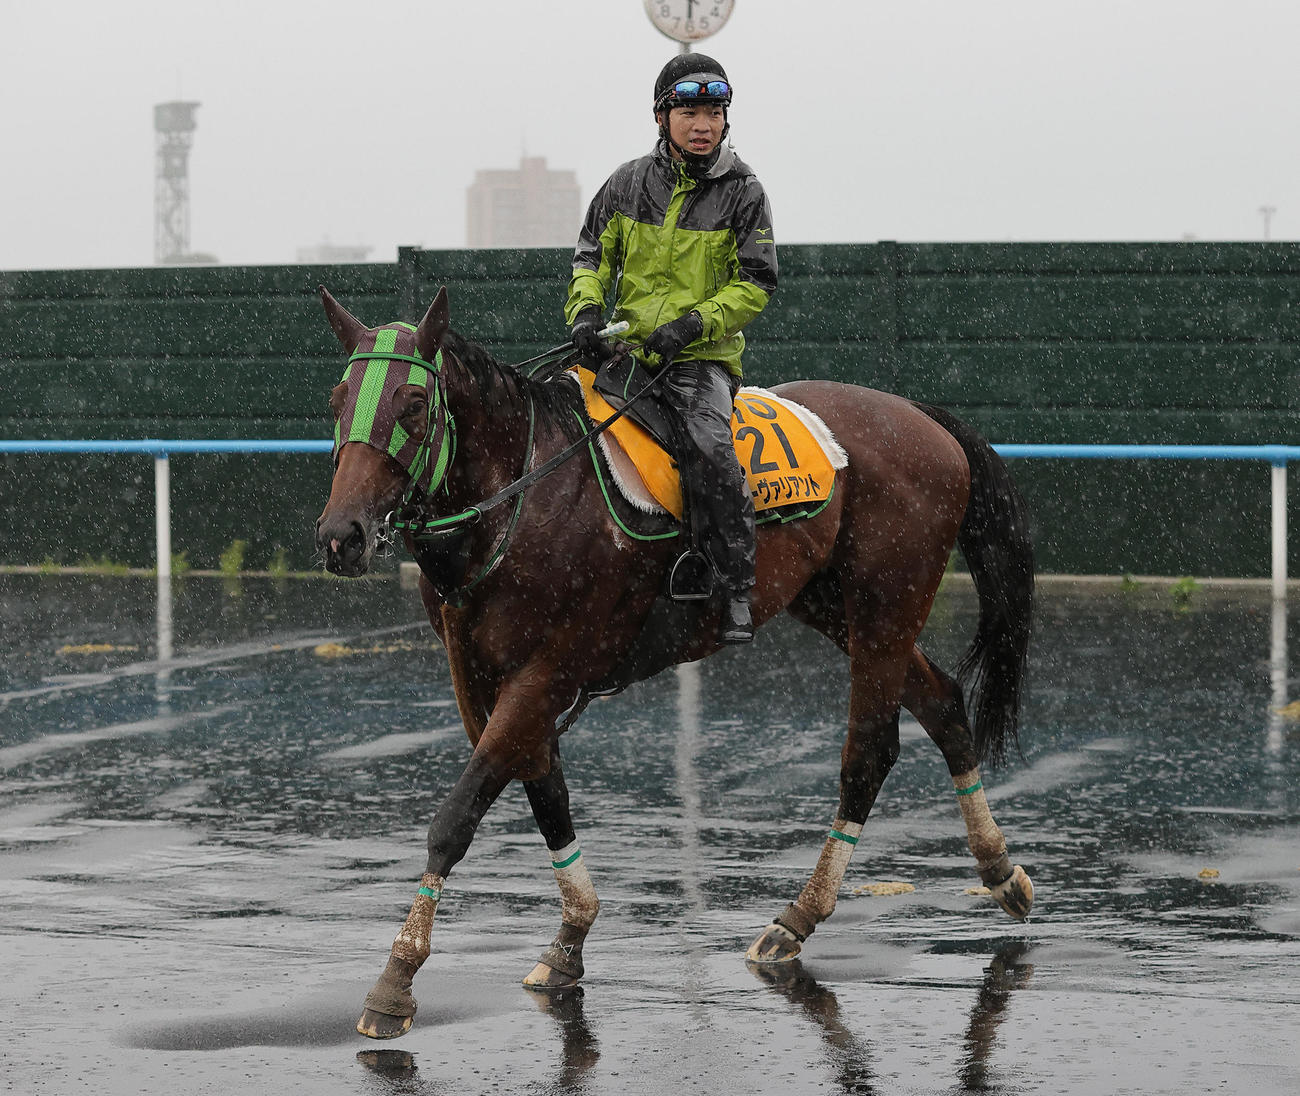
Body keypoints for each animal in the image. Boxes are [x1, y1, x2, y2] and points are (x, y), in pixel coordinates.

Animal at [314, 286, 1036, 1040]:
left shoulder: (548, 669)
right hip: (838, 607)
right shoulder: (480, 675)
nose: (342, 536)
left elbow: (456, 817)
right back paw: (998, 869)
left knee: (869, 751)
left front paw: (395, 981)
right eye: (339, 399)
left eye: (413, 404)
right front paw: (570, 938)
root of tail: (920, 416)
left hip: (885, 608)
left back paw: (799, 916)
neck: (525, 497)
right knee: (944, 704)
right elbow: (545, 795)